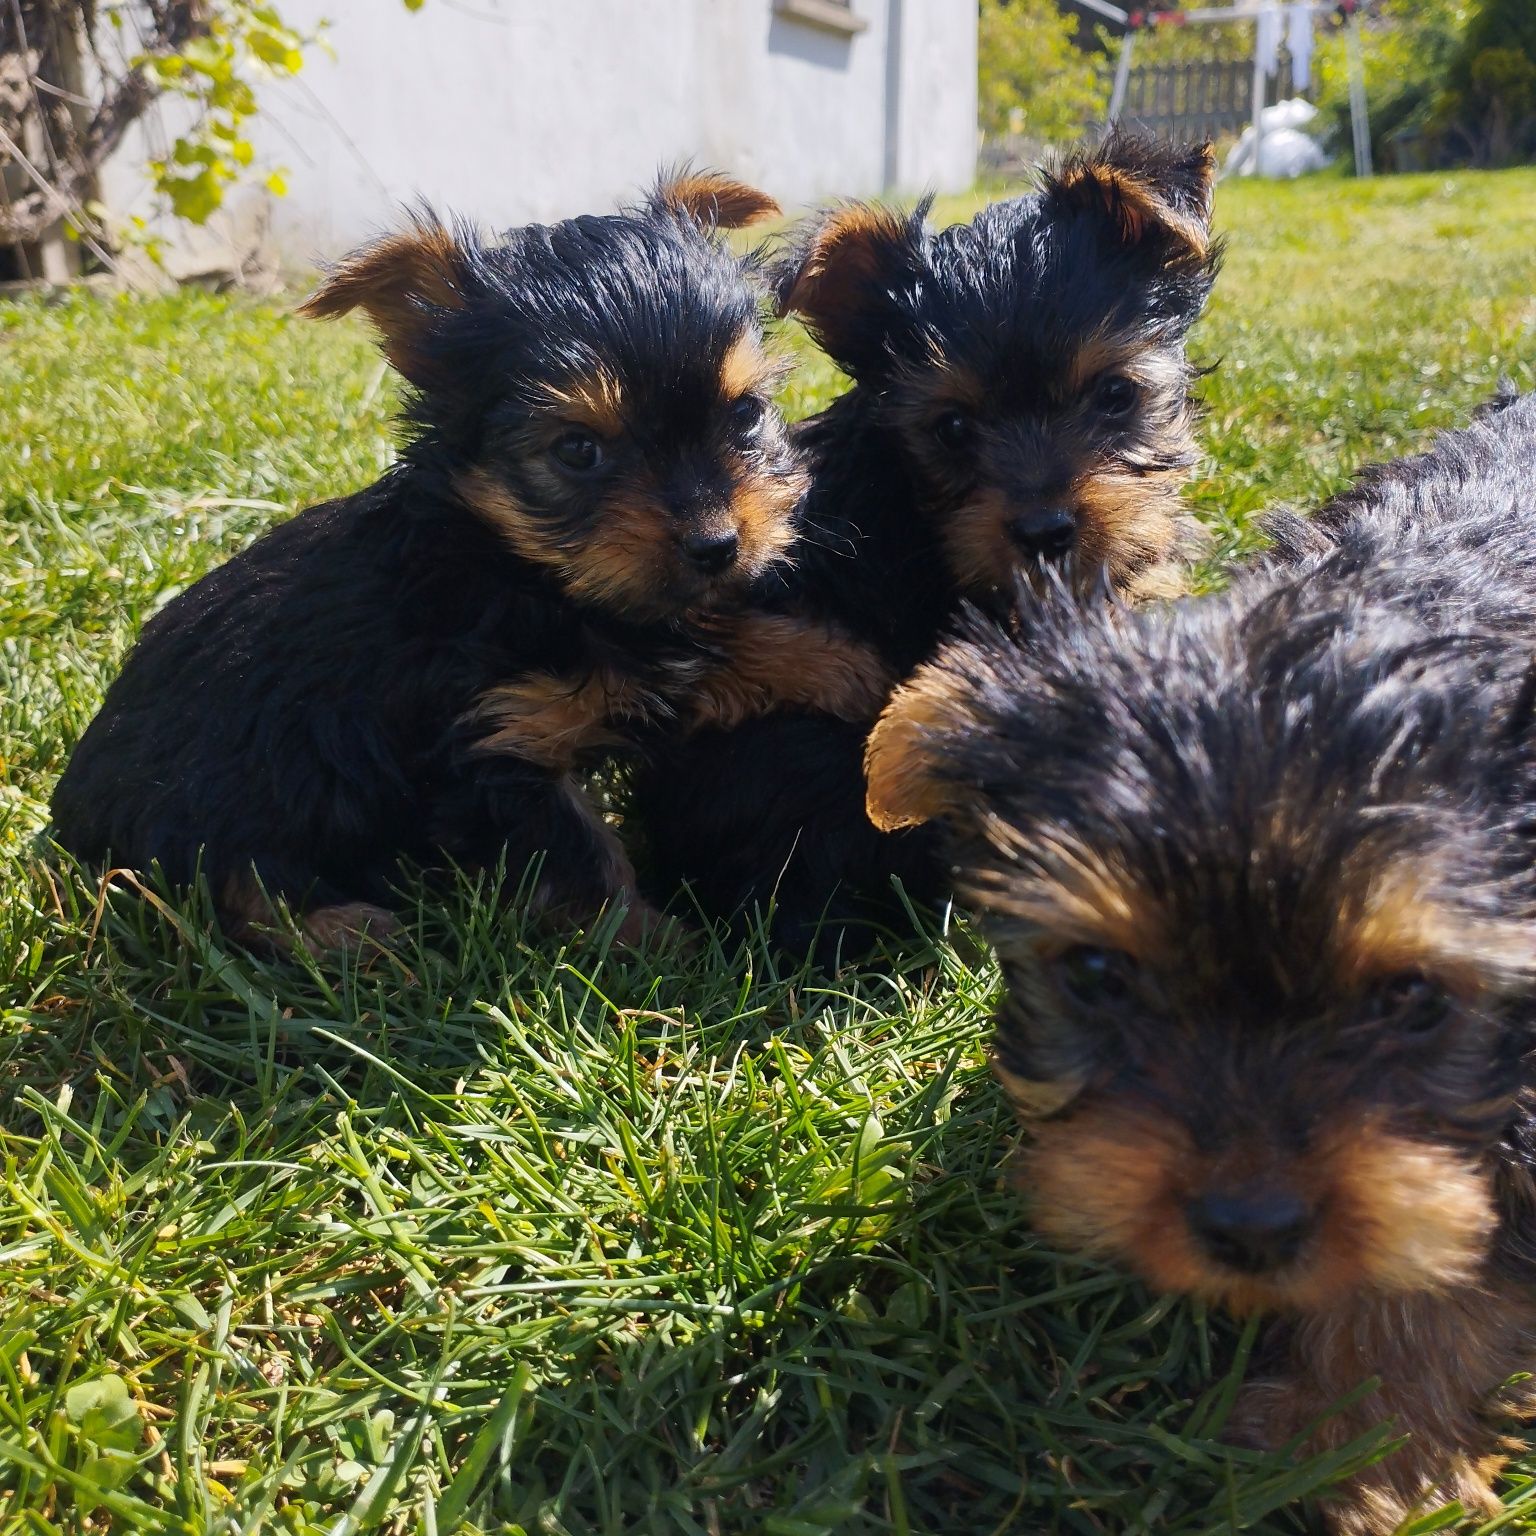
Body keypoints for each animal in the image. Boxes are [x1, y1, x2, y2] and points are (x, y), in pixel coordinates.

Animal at [54, 174, 890, 952]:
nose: (718, 544)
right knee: (221, 885)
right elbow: (583, 861)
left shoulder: (625, 654)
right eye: (577, 450)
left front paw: (840, 666)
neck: (520, 569)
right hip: (216, 798)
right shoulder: (492, 744)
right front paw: (658, 948)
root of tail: (70, 817)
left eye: (746, 414)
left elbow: (700, 650)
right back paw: (344, 932)